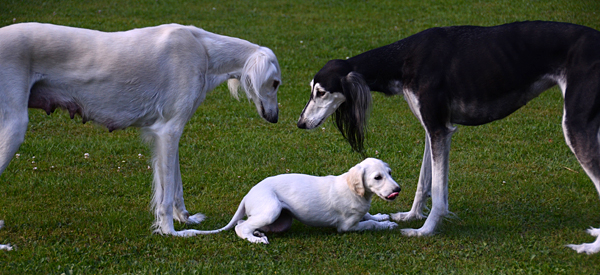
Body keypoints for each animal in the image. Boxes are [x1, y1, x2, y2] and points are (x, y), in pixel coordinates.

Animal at [0, 21, 282, 250]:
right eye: (276, 83)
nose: (275, 118)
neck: (203, 50)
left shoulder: (171, 132)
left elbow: (176, 186)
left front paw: (185, 217)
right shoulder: (168, 131)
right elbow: (166, 196)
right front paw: (171, 231)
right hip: (14, 126)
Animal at [193, 158, 398, 245]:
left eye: (390, 172)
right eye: (377, 177)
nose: (398, 190)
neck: (355, 190)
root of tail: (247, 195)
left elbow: (369, 216)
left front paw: (381, 216)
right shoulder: (346, 227)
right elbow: (369, 224)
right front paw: (386, 225)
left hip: (281, 221)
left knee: (243, 222)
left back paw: (258, 233)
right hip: (272, 209)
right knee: (241, 227)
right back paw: (256, 239)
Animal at [298, 21, 600, 254]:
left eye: (321, 92)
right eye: (312, 89)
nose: (300, 123)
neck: (403, 58)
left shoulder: (439, 130)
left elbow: (440, 194)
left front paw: (425, 230)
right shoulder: (433, 129)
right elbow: (424, 181)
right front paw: (411, 216)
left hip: (576, 126)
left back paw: (589, 248)